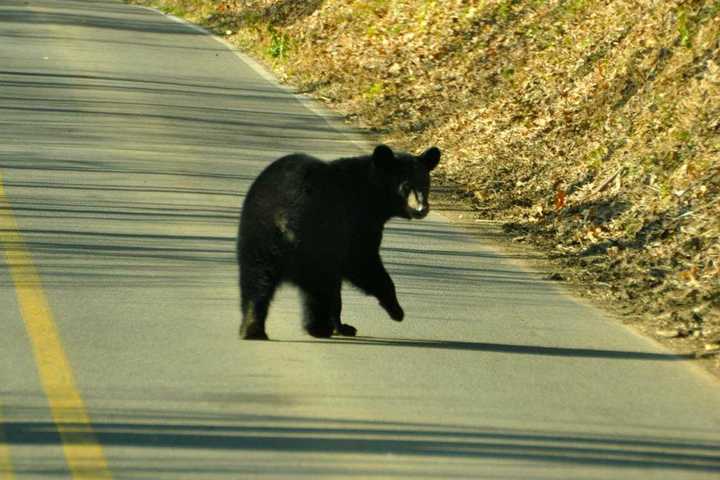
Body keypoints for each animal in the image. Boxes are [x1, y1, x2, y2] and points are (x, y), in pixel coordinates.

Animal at [238, 144, 438, 340]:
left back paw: (252, 327)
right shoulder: (357, 223)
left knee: (256, 280)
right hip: (314, 241)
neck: (371, 195)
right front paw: (396, 310)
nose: (421, 208)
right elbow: (362, 261)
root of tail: (284, 218)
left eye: (425, 183)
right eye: (406, 186)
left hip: (258, 237)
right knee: (319, 288)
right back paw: (319, 327)